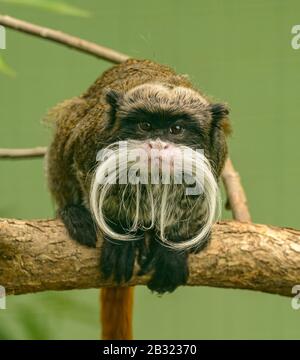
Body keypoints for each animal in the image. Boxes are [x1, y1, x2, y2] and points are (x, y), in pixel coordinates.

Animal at [45, 59, 231, 340]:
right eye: (145, 126)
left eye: (176, 129)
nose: (157, 145)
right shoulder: (89, 139)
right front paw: (122, 237)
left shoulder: (217, 153)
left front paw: (173, 248)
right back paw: (74, 213)